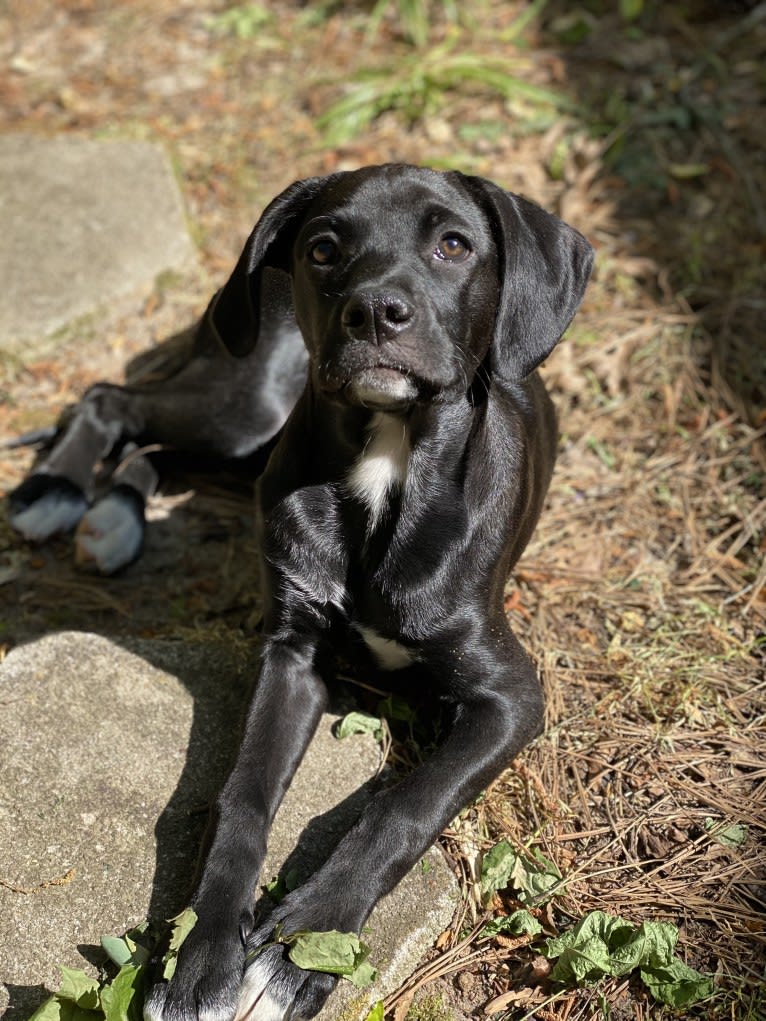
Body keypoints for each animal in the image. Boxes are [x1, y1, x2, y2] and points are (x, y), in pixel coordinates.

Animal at [7, 167, 592, 1021]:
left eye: (454, 244)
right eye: (324, 248)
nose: (375, 311)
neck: (385, 466)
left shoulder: (510, 695)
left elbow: (406, 804)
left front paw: (297, 949)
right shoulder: (291, 655)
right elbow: (242, 799)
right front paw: (203, 956)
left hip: (249, 439)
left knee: (159, 447)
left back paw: (109, 514)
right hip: (249, 401)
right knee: (116, 398)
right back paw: (53, 489)